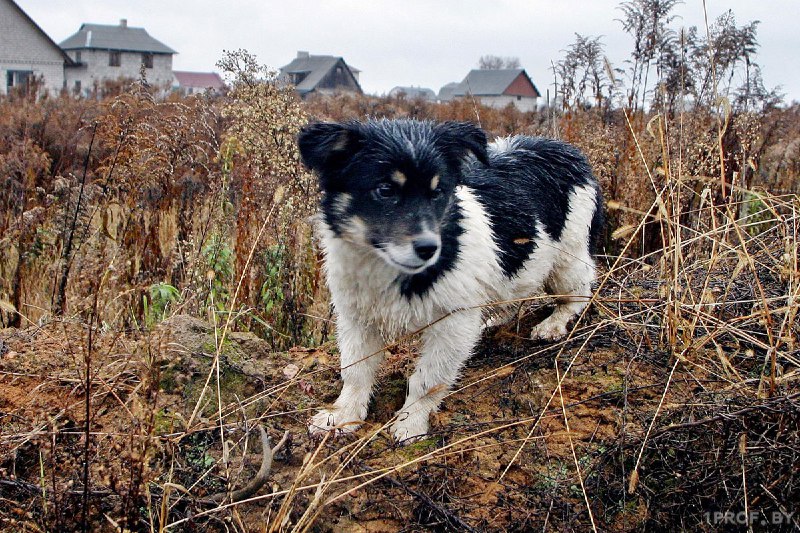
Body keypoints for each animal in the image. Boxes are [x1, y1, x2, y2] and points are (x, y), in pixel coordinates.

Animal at [296, 119, 604, 440]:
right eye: (385, 190)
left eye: (438, 192)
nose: (429, 248)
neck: (390, 268)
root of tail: (567, 149)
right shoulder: (357, 318)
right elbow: (355, 371)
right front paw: (342, 416)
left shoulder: (452, 323)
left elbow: (427, 380)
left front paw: (411, 423)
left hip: (569, 259)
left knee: (579, 294)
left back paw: (553, 323)